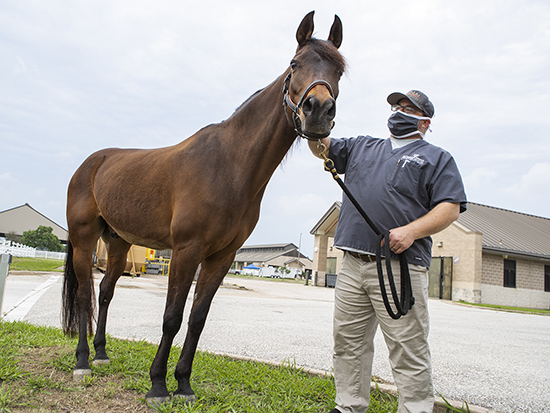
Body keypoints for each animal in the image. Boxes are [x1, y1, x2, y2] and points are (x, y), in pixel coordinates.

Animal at [60, 10, 344, 406]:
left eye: (339, 70)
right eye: (295, 63)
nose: (318, 111)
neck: (229, 165)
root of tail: (90, 163)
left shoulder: (221, 257)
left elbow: (197, 318)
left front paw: (183, 384)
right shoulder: (186, 250)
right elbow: (172, 317)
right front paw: (158, 385)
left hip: (117, 243)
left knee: (105, 293)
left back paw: (101, 354)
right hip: (85, 239)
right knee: (85, 293)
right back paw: (83, 361)